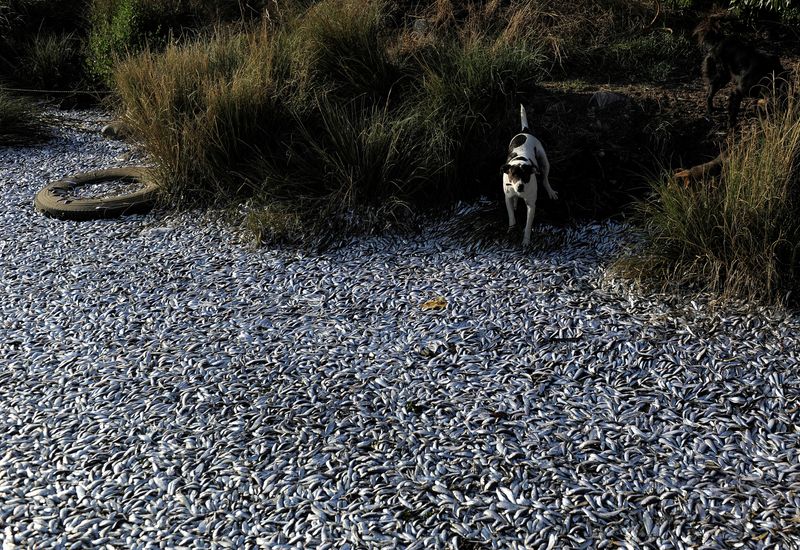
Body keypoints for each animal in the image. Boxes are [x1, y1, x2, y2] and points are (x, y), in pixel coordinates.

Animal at [500, 105, 556, 246]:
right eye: (512, 175)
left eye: (526, 175)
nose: (520, 187)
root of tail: (525, 131)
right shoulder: (507, 198)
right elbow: (511, 217)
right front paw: (512, 230)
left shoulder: (531, 205)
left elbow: (528, 225)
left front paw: (526, 240)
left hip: (544, 161)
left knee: (545, 179)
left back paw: (550, 191)